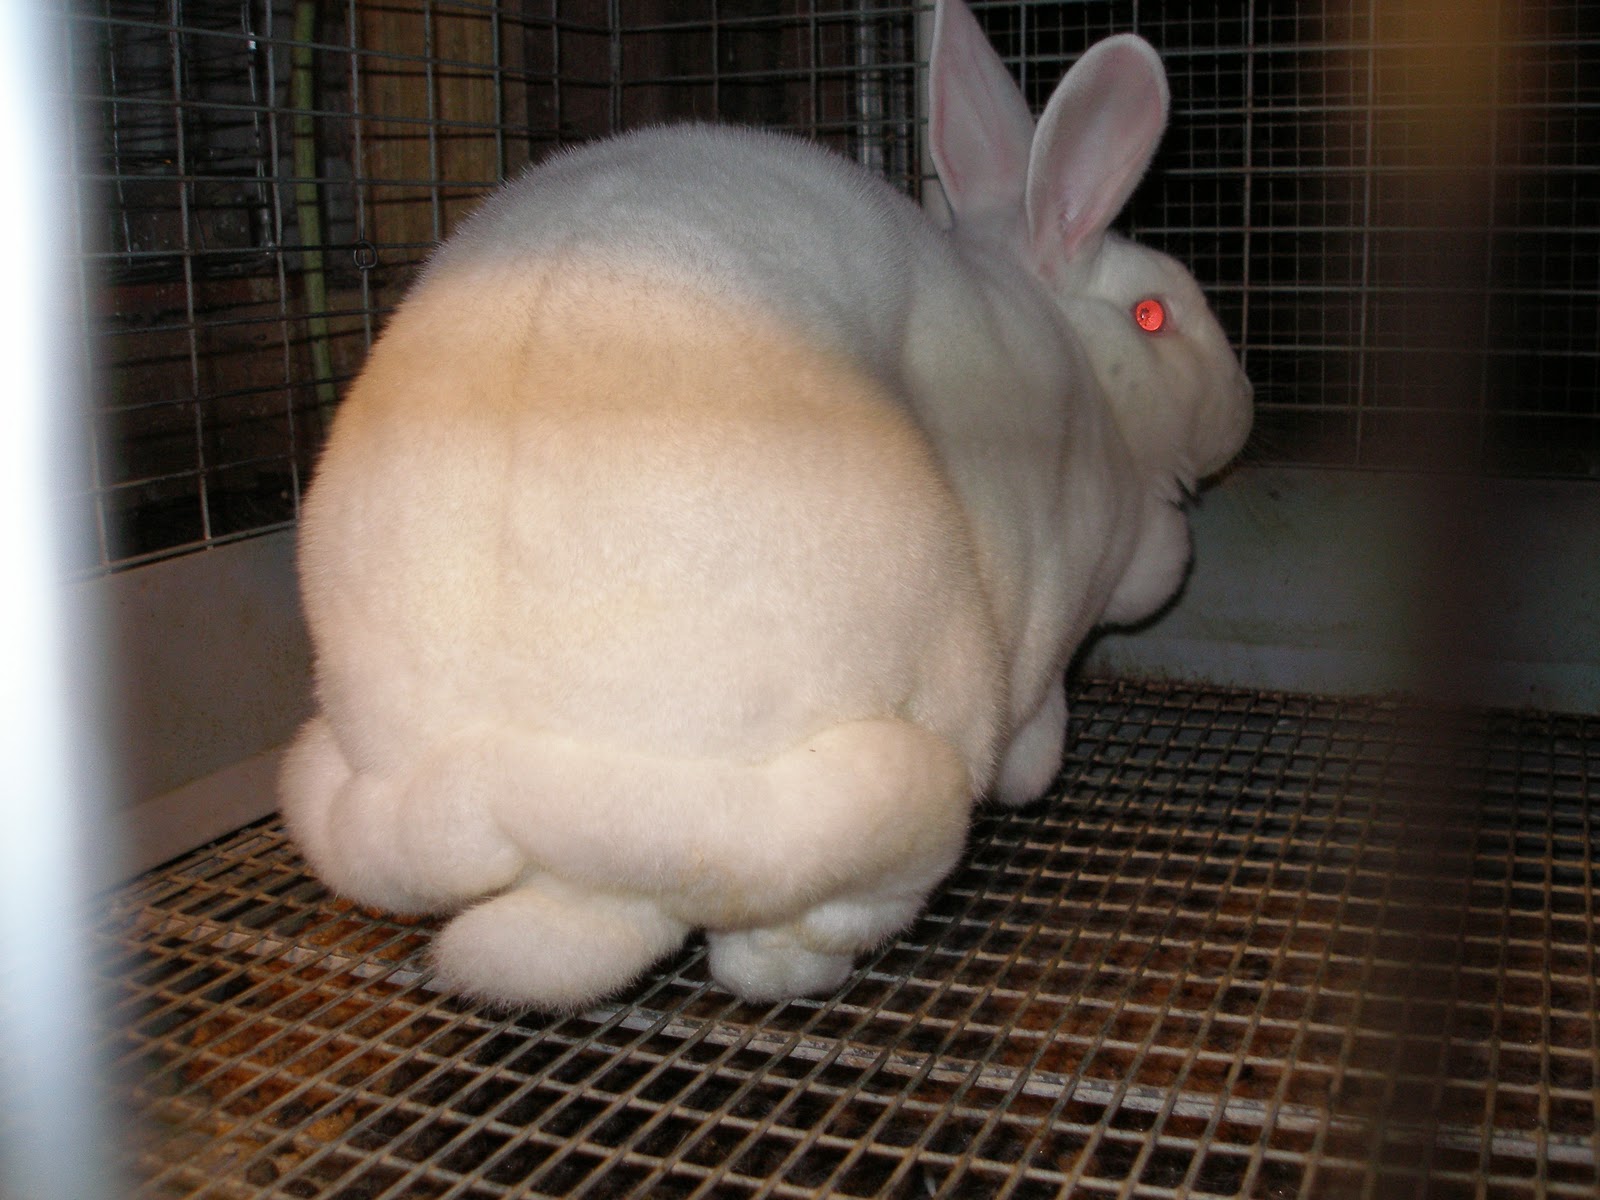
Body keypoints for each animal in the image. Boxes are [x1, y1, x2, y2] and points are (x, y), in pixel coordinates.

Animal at [279, 0, 1252, 1013]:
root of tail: (526, 781)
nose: (1243, 410)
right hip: (905, 732)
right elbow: (1045, 731)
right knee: (790, 933)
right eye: (1154, 315)